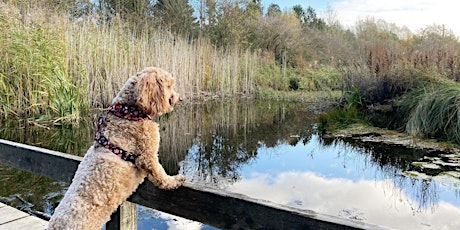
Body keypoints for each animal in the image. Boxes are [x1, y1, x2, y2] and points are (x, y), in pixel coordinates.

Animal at [48, 67, 185, 230]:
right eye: (169, 85)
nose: (180, 99)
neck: (128, 112)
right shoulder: (148, 156)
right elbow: (161, 175)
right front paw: (175, 180)